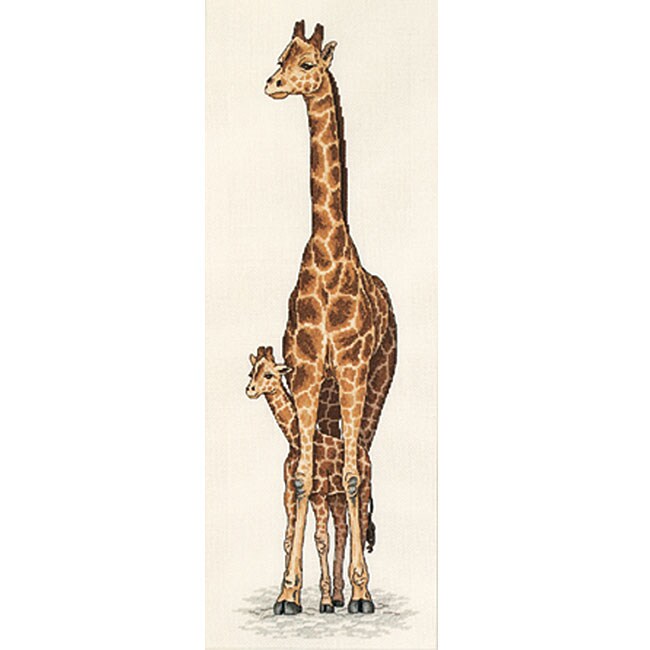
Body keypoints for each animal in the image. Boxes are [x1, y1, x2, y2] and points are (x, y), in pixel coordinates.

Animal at [246, 346, 374, 612]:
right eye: (252, 373)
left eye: (269, 375)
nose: (250, 390)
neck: (296, 442)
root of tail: (364, 454)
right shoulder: (290, 493)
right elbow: (289, 538)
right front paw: (289, 595)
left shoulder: (318, 494)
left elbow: (320, 540)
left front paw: (324, 602)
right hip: (337, 498)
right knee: (343, 531)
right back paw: (339, 597)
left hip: (362, 489)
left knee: (358, 526)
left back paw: (355, 596)